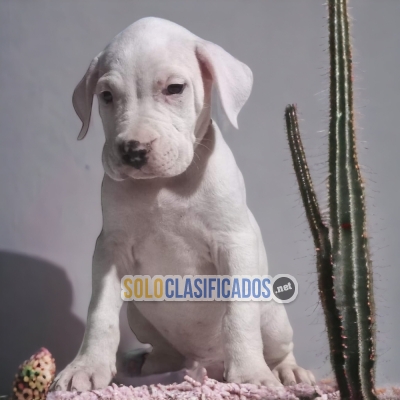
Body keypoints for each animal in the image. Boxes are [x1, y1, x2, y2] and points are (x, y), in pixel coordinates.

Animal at [51, 18, 314, 390]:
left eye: (175, 88)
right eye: (106, 96)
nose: (133, 151)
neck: (164, 186)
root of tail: (206, 362)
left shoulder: (234, 243)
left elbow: (239, 315)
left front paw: (250, 374)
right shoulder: (109, 249)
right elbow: (99, 313)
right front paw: (85, 367)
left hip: (275, 318)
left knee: (278, 347)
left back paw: (288, 371)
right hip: (139, 315)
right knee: (164, 351)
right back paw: (154, 367)